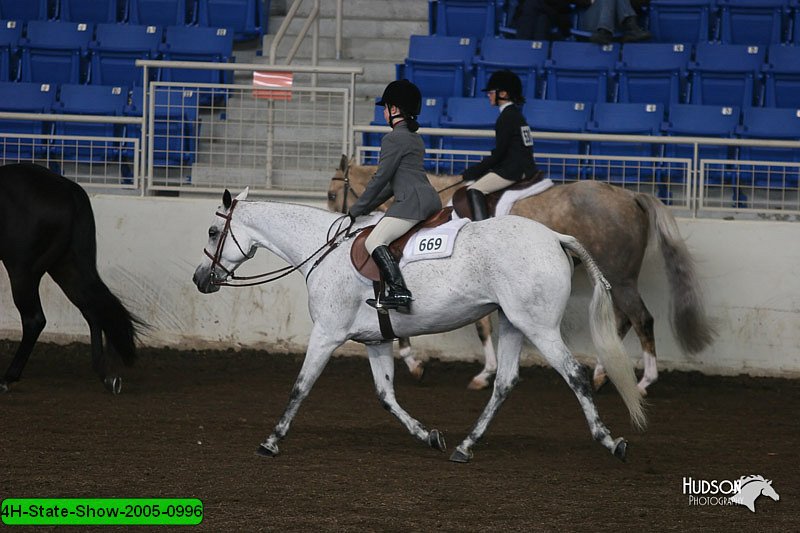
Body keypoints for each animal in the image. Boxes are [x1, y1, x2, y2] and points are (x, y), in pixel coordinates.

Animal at [0, 164, 141, 392]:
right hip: (66, 266)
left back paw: (7, 378)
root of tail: (69, 190)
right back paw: (106, 375)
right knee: (92, 309)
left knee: (34, 320)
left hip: (23, 272)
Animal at [197, 188, 648, 462]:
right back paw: (465, 445)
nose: (201, 279)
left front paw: (271, 441)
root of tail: (555, 236)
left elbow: (299, 387)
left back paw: (611, 441)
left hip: (540, 327)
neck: (323, 250)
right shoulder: (375, 340)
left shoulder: (326, 334)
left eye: (214, 230)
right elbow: (385, 395)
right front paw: (427, 434)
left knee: (575, 375)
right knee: (505, 382)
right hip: (513, 324)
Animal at [328, 156, 716, 392]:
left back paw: (644, 382)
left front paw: (477, 372)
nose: (340, 226)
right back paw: (604, 372)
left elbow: (478, 326)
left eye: (332, 194)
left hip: (620, 277)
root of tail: (630, 195)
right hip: (616, 277)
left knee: (641, 319)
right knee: (623, 320)